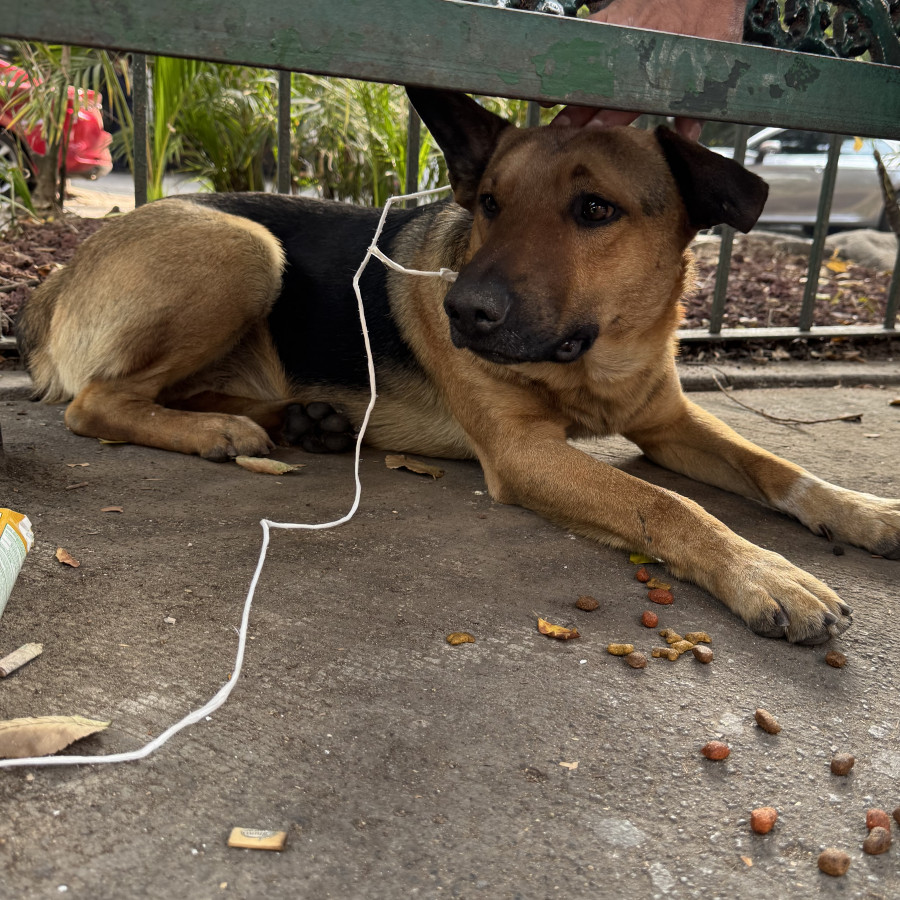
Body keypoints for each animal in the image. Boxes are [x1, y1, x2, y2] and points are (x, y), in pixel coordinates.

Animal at [15, 88, 900, 644]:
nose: (462, 311)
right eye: (492, 205)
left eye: (596, 210)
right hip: (246, 249)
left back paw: (304, 421)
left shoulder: (671, 422)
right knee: (94, 403)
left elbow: (778, 467)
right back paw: (218, 433)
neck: (598, 360)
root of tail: (59, 274)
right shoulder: (524, 453)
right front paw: (767, 575)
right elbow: (666, 506)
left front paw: (865, 511)